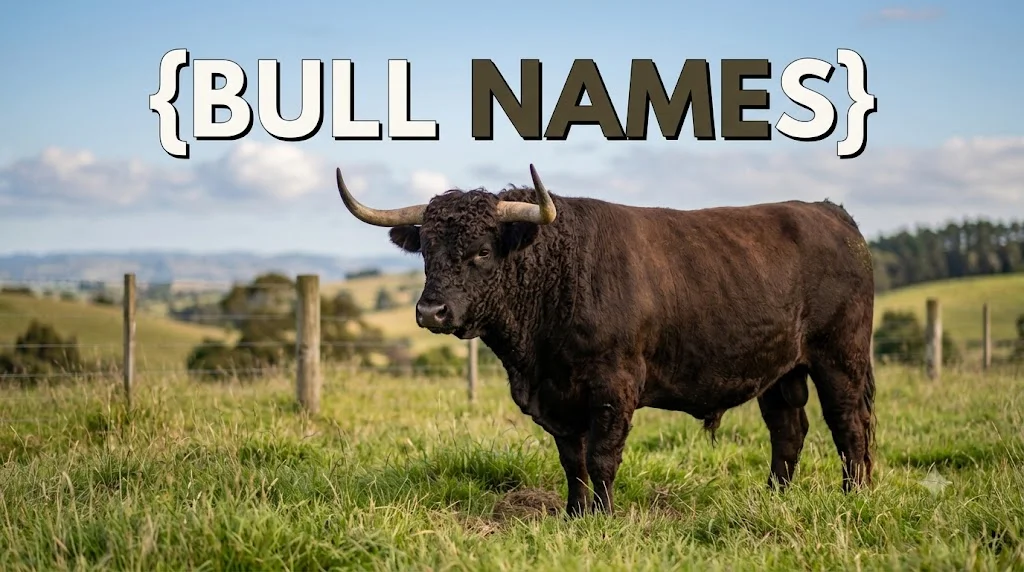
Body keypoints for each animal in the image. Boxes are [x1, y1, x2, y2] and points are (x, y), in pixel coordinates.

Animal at [333, 164, 877, 516]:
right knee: (789, 429)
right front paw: (575, 514)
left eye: (483, 251)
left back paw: (854, 496)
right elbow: (571, 459)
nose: (431, 311)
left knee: (849, 426)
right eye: (425, 250)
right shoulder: (556, 397)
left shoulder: (613, 387)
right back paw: (773, 497)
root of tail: (830, 212)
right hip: (781, 370)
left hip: (840, 356)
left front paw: (604, 515)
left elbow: (600, 456)